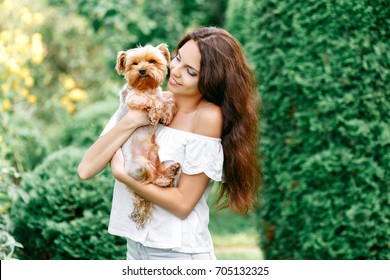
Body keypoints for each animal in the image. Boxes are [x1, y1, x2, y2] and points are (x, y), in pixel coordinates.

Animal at [114, 43, 181, 228]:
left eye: (152, 61)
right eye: (134, 64)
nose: (142, 70)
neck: (146, 86)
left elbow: (167, 100)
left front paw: (166, 115)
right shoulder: (135, 98)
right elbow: (153, 101)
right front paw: (155, 114)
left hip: (157, 157)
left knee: (158, 173)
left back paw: (171, 171)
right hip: (141, 166)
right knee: (151, 181)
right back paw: (165, 179)